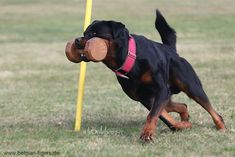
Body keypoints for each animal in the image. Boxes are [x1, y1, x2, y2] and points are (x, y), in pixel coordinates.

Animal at [65, 10, 226, 142]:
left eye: (93, 34)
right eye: (84, 33)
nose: (77, 40)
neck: (130, 57)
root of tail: (171, 51)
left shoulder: (161, 90)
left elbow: (153, 115)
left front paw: (147, 133)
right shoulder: (145, 97)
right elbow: (163, 117)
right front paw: (180, 126)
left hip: (190, 86)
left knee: (210, 108)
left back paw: (221, 127)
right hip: (165, 96)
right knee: (181, 105)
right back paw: (185, 118)